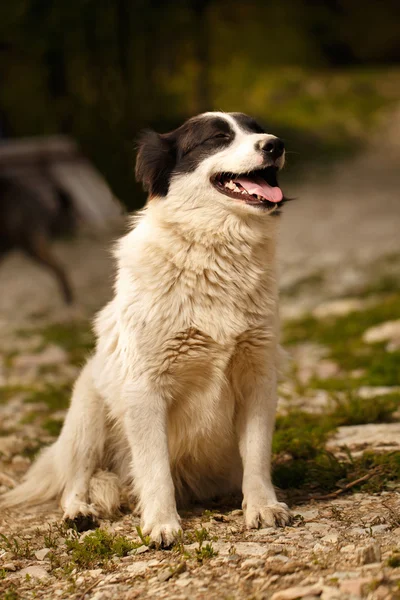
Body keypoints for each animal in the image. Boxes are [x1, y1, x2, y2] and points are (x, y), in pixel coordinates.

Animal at [1, 110, 292, 548]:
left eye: (257, 130)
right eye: (217, 138)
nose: (275, 145)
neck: (214, 250)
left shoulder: (257, 376)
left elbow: (256, 455)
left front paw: (261, 506)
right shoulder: (145, 389)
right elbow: (155, 469)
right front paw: (161, 525)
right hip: (87, 412)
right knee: (76, 479)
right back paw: (79, 512)